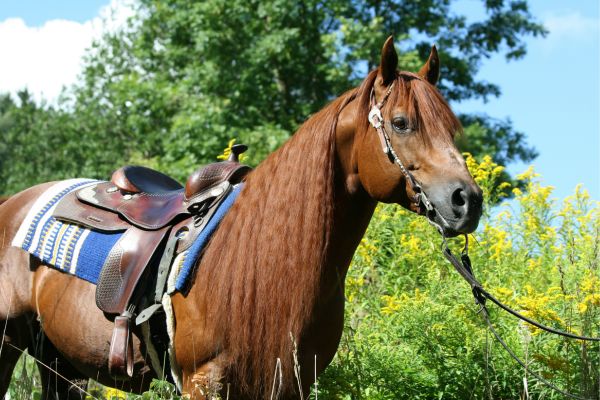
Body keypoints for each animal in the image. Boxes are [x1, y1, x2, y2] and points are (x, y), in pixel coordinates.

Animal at [0, 36, 482, 398]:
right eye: (401, 123)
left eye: (450, 128)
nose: (468, 201)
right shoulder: (205, 382)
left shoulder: (290, 384)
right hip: (7, 345)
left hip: (60, 361)